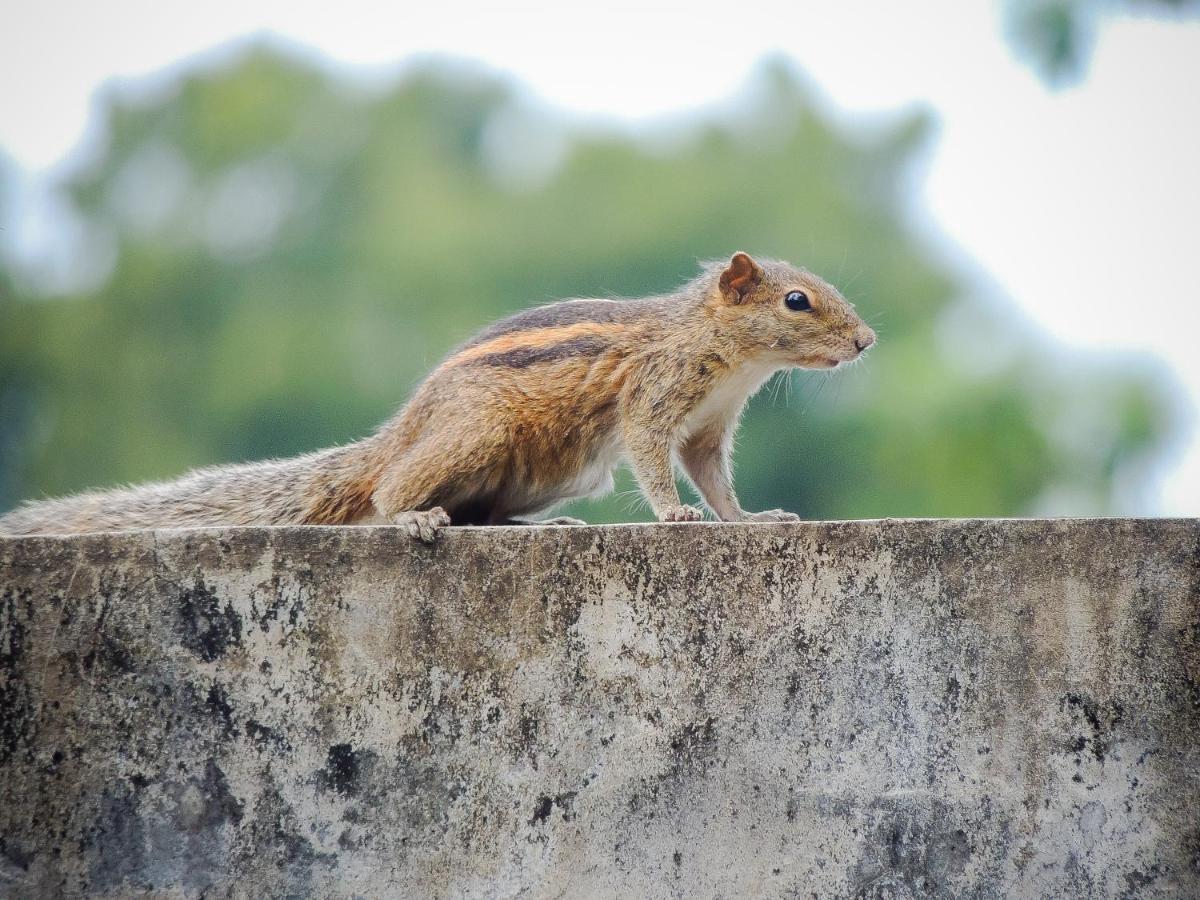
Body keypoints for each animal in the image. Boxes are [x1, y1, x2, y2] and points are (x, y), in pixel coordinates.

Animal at [2, 252, 883, 542]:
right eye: (797, 302)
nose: (867, 341)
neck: (729, 357)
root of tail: (401, 432)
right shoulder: (655, 399)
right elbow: (654, 460)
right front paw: (673, 517)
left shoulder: (708, 428)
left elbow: (716, 481)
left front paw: (752, 518)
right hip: (479, 434)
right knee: (393, 490)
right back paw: (412, 516)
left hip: (544, 471)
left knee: (483, 513)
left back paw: (536, 525)